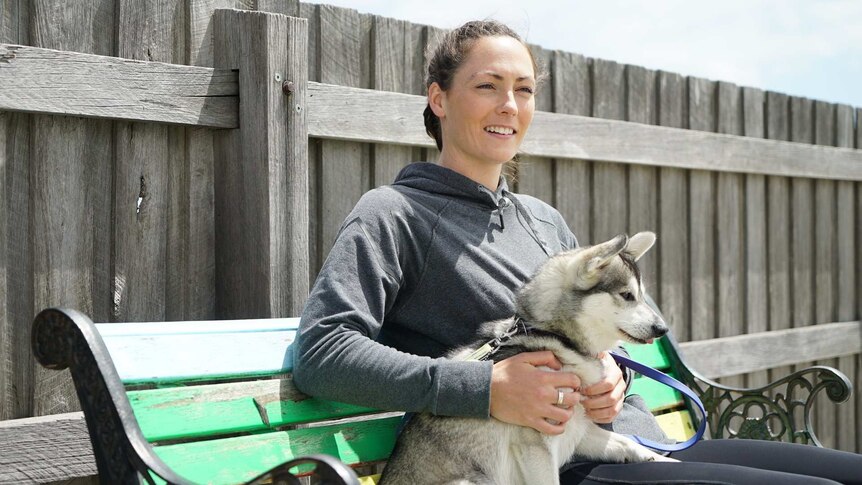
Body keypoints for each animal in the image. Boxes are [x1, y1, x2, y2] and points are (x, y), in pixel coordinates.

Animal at [384, 232, 676, 484]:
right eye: (626, 295)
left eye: (642, 296)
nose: (663, 328)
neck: (556, 337)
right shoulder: (537, 448)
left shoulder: (578, 432)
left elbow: (629, 442)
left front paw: (662, 459)